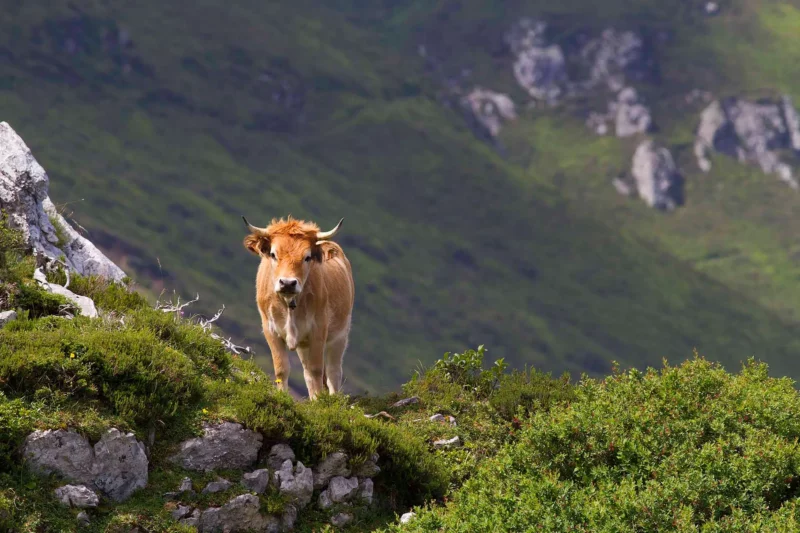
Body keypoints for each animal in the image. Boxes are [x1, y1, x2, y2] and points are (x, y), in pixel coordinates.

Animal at [241, 214, 354, 396]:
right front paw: (283, 396)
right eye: (273, 254)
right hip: (304, 344)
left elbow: (316, 370)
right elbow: (282, 369)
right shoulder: (270, 329)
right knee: (308, 373)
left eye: (307, 257)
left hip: (340, 335)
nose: (287, 283)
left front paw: (321, 401)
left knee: (333, 372)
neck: (289, 305)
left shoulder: (318, 328)